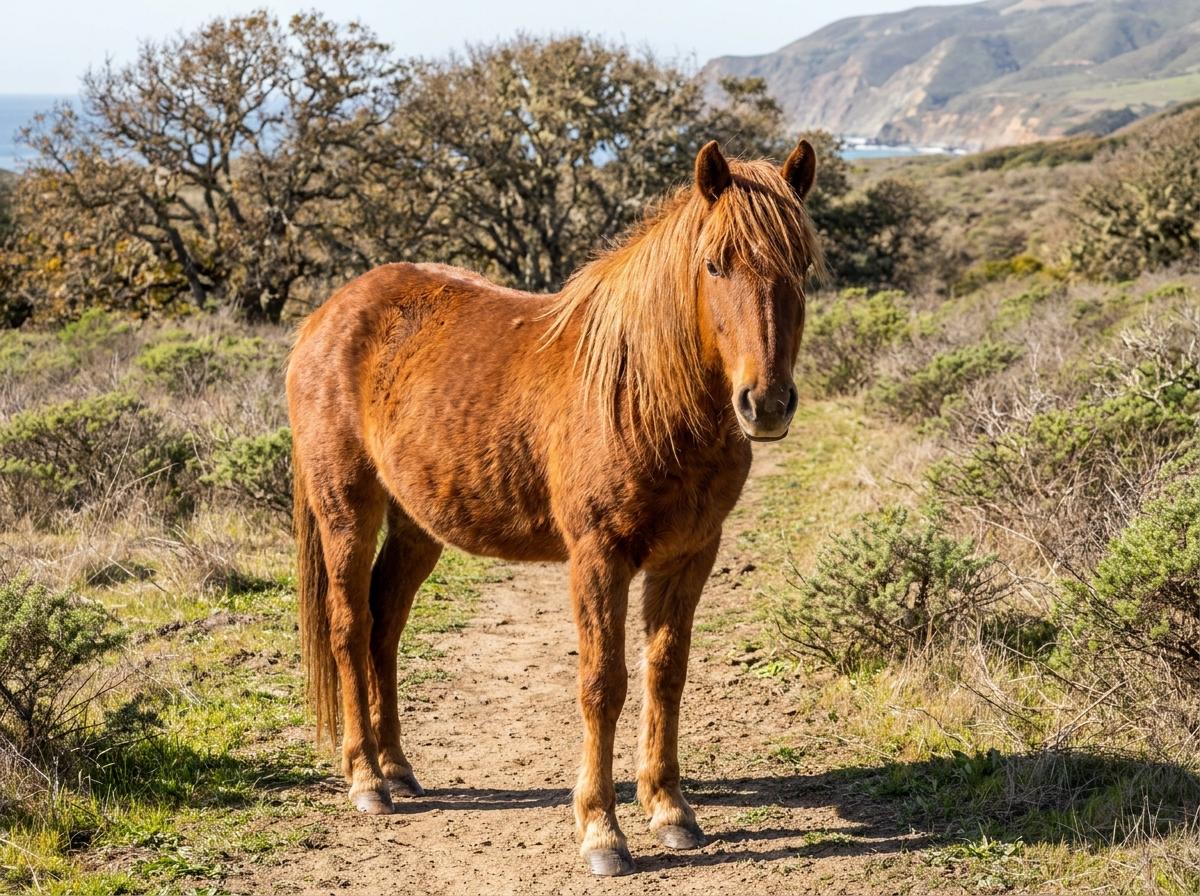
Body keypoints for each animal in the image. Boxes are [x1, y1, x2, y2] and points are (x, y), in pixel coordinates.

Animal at [286, 138, 821, 877]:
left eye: (803, 266)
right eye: (715, 264)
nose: (765, 405)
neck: (642, 390)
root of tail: (327, 316)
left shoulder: (690, 555)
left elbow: (666, 675)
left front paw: (670, 810)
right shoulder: (597, 557)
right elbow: (602, 683)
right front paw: (601, 830)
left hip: (417, 524)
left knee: (383, 628)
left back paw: (397, 768)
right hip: (347, 510)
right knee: (348, 627)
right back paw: (366, 778)